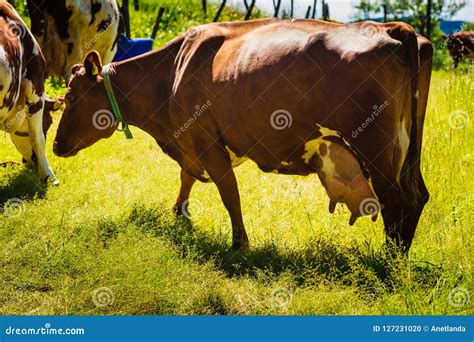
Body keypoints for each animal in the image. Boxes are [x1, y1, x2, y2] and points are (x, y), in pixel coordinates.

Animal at [52, 20, 434, 251]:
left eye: (70, 98)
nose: (56, 145)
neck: (172, 71)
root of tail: (390, 28)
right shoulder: (192, 141)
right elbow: (186, 176)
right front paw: (179, 212)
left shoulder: (205, 140)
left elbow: (228, 193)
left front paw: (239, 244)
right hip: (407, 151)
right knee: (416, 196)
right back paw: (401, 255)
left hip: (376, 148)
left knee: (395, 200)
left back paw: (389, 259)